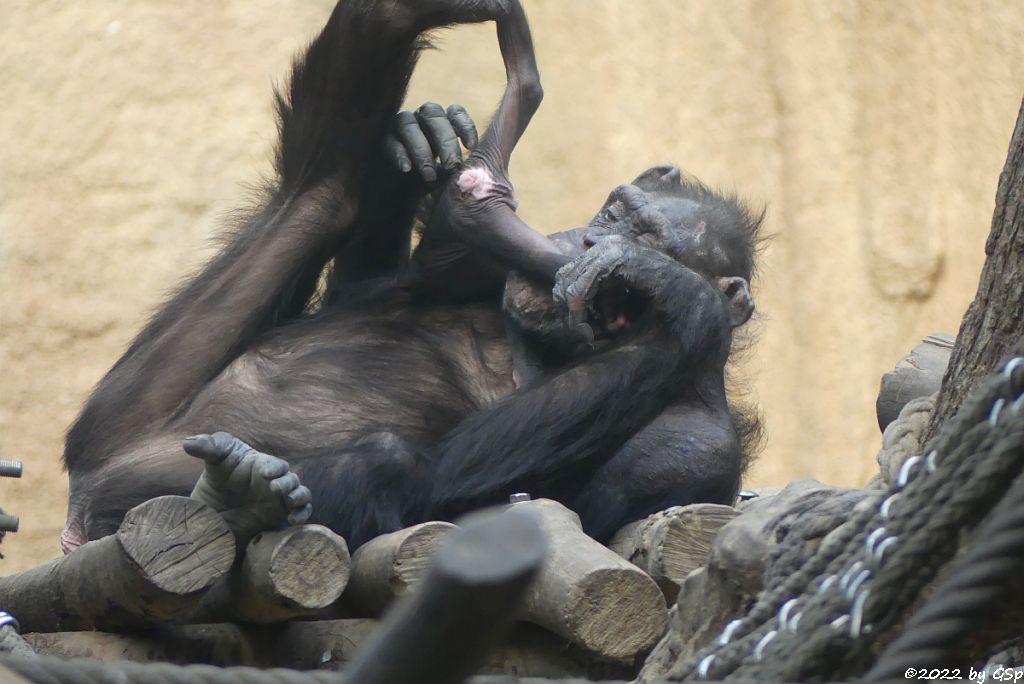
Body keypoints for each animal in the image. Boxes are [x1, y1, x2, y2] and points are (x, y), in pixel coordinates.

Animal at [58, 0, 761, 552]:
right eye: (614, 214)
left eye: (648, 241)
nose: (589, 243)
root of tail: (77, 515)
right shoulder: (483, 269)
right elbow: (384, 283)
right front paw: (438, 150)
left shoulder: (689, 450)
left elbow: (474, 492)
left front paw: (680, 294)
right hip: (126, 409)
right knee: (317, 193)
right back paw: (397, 19)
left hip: (122, 459)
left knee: (391, 466)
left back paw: (236, 498)